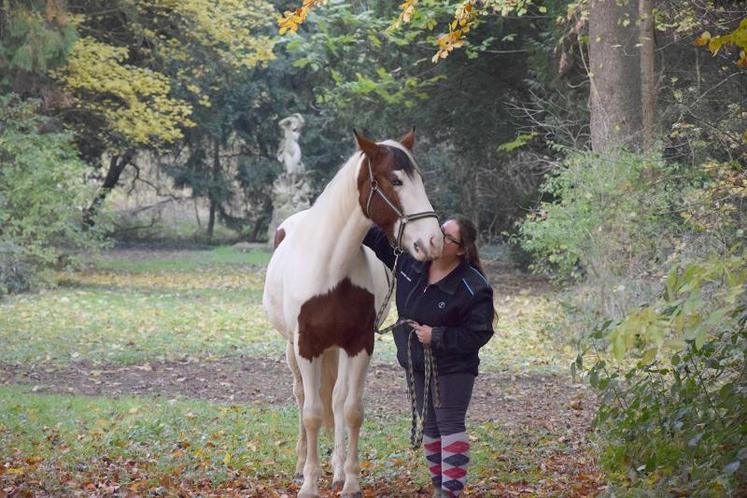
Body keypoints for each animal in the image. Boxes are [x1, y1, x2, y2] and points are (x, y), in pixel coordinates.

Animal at [262, 130, 444, 496]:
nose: (434, 240)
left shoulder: (359, 344)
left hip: (337, 350)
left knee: (336, 399)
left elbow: (351, 410)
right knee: (302, 396)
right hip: (293, 349)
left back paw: (336, 471)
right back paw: (302, 467)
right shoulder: (308, 347)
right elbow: (311, 413)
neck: (331, 268)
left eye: (419, 179)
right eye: (395, 180)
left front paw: (351, 481)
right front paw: (309, 484)